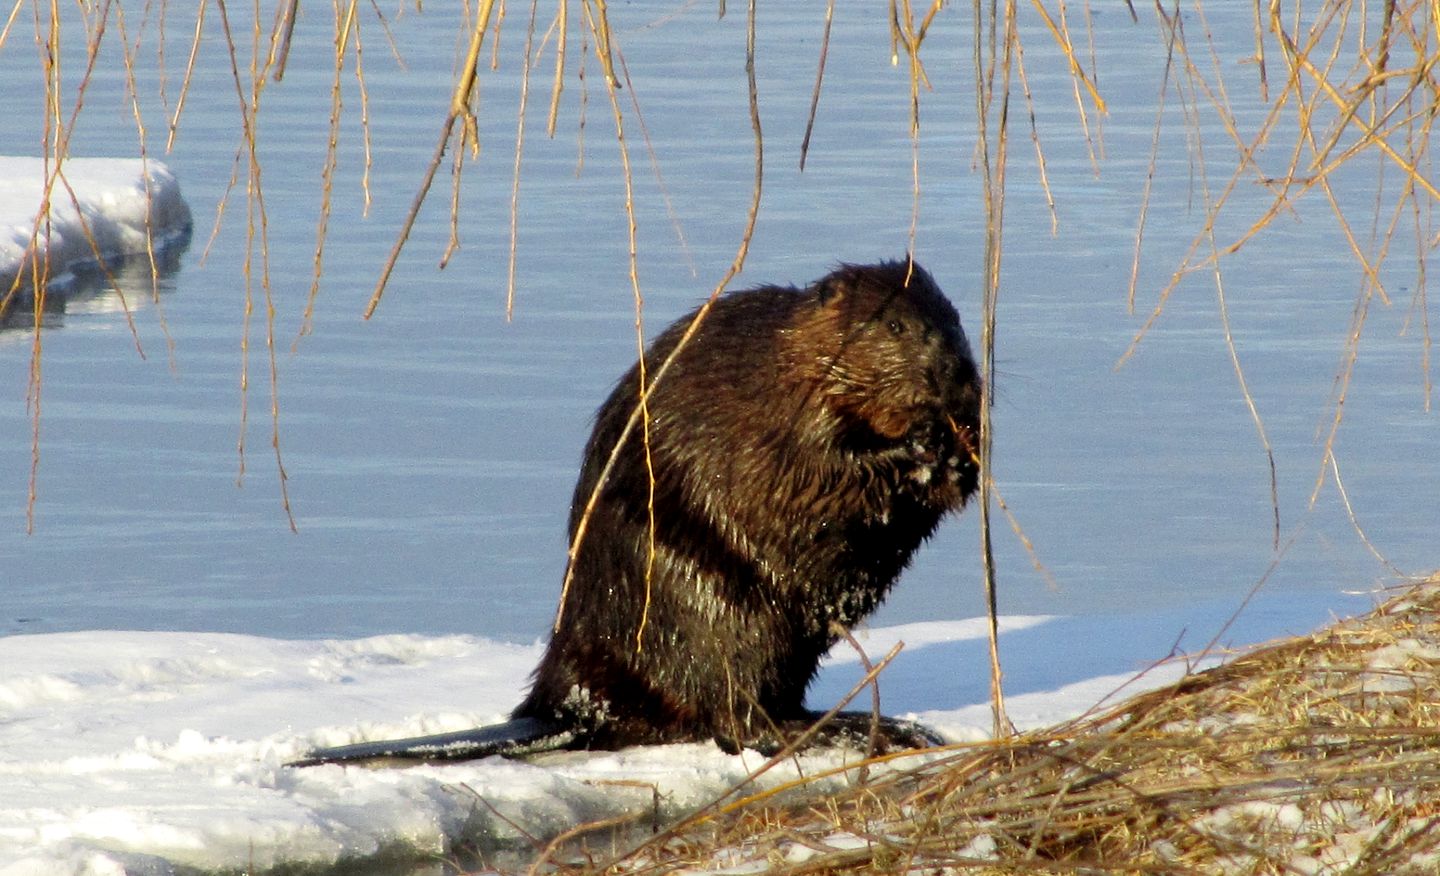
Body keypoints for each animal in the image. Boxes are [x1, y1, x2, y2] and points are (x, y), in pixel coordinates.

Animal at [512, 257, 984, 754]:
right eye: (894, 325)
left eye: (955, 319)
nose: (956, 370)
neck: (791, 357)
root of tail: (570, 703)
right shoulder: (789, 413)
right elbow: (820, 470)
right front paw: (920, 442)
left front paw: (958, 445)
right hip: (721, 608)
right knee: (738, 716)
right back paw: (863, 729)